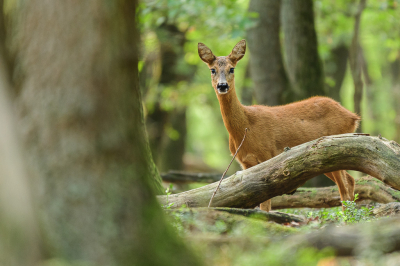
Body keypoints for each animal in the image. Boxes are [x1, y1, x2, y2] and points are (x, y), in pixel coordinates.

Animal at [198, 39, 360, 211]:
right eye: (212, 70)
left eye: (232, 68)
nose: (222, 86)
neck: (245, 127)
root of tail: (353, 116)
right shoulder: (245, 163)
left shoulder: (267, 154)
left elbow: (266, 205)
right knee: (350, 181)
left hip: (335, 147)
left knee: (344, 188)